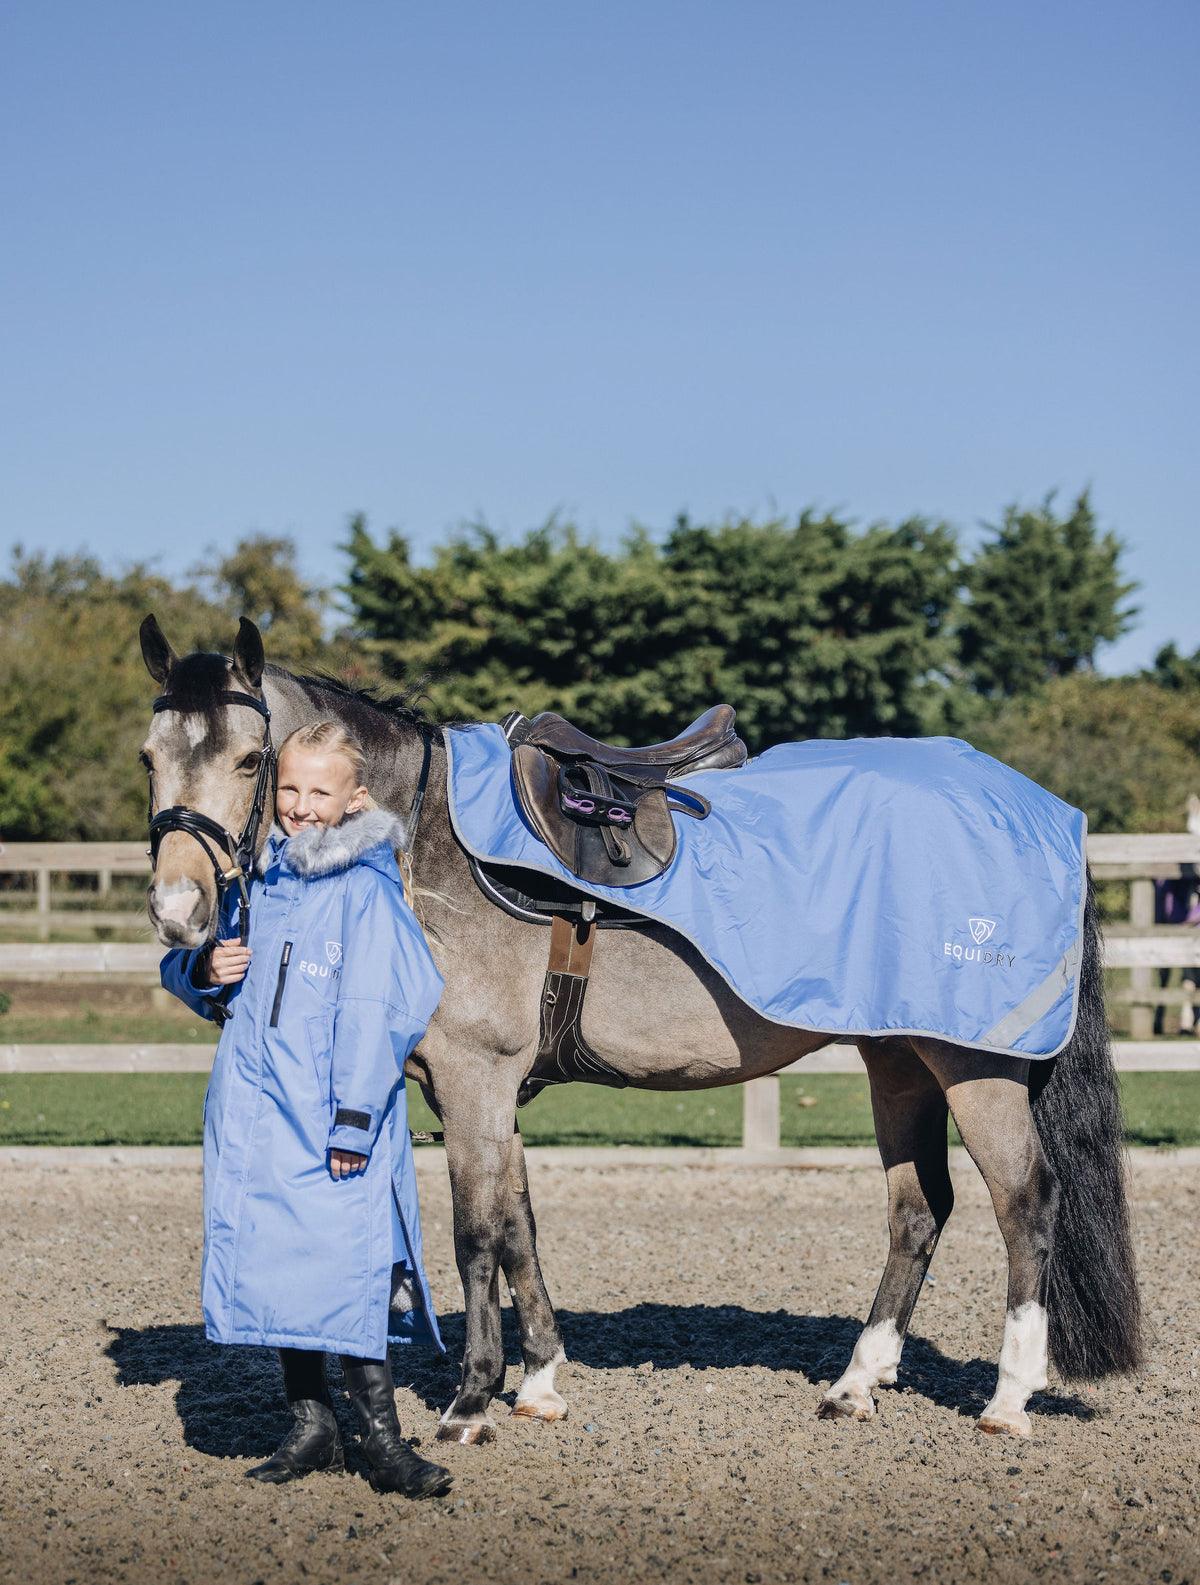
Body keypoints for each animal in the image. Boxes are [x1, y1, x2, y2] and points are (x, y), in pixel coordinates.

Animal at [138, 615, 1143, 1445]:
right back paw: (857, 1382)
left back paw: (1008, 1398)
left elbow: (475, 1233)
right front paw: (541, 1380)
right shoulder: (491, 1092)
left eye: (251, 759)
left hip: (975, 1066)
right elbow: (520, 1225)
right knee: (917, 1209)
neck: (425, 840)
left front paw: (471, 1399)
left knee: (1025, 1201)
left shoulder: (474, 1079)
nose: (180, 913)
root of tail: (1041, 810)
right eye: (150, 756)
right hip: (898, 1059)